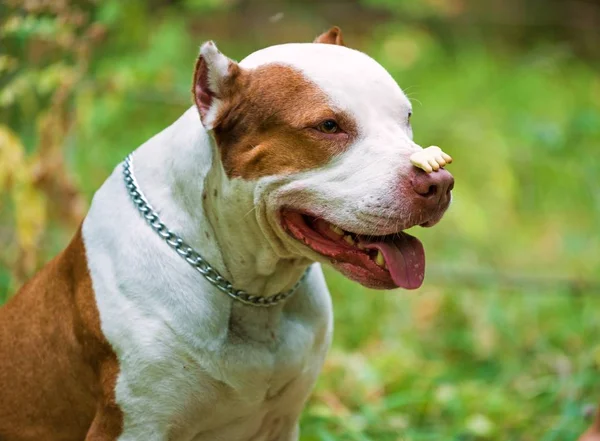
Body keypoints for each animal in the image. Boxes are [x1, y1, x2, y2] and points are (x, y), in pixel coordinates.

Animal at [0, 27, 452, 440]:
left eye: (406, 117)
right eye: (327, 126)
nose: (439, 182)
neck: (251, 288)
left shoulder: (281, 423)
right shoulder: (135, 425)